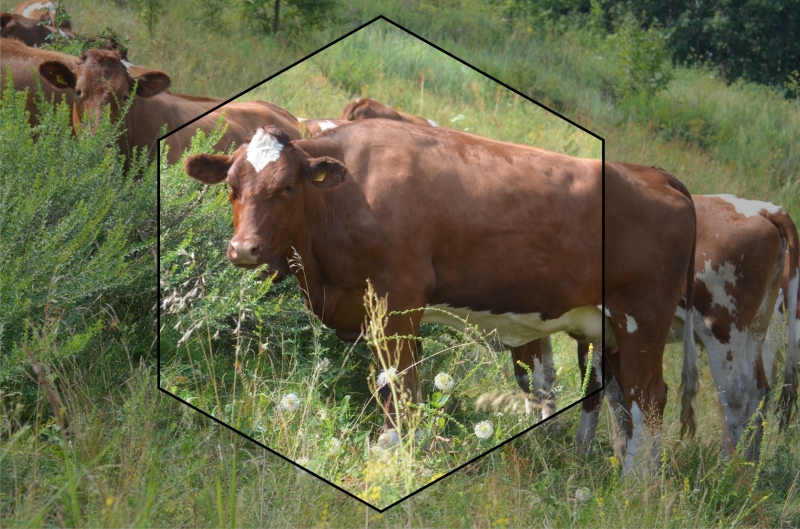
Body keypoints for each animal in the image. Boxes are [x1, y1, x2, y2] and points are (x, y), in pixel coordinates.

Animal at [181, 120, 699, 476]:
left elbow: (397, 384)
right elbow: (400, 386)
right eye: (231, 187)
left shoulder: (396, 300)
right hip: (610, 329)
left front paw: (392, 454)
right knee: (620, 399)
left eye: (287, 187)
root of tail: (655, 174)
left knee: (648, 397)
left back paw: (635, 484)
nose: (243, 249)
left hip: (642, 319)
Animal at [518, 194, 798, 461]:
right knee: (760, 392)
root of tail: (765, 210)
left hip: (725, 330)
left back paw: (728, 468)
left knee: (737, 395)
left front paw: (572, 449)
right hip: (755, 333)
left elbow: (550, 380)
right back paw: (750, 464)